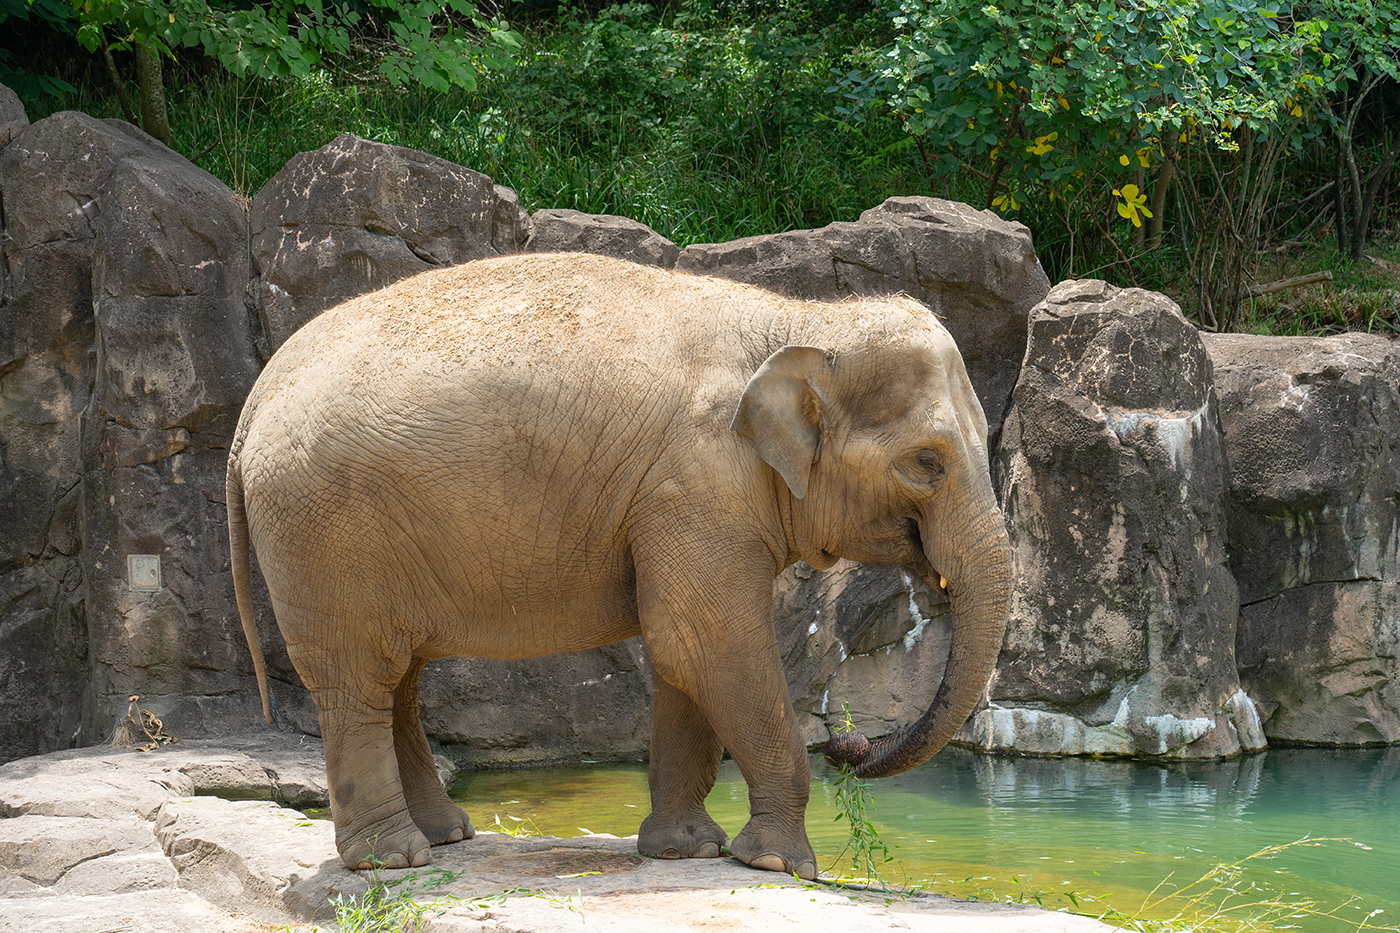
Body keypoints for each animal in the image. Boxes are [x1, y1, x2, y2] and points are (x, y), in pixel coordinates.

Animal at [226, 246, 1008, 874]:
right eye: (927, 463)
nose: (849, 742)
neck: (800, 321)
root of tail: (253, 401)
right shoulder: (695, 485)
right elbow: (705, 640)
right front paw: (781, 864)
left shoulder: (684, 502)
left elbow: (681, 654)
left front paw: (687, 850)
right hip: (322, 528)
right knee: (359, 676)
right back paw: (393, 860)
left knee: (397, 675)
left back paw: (445, 837)